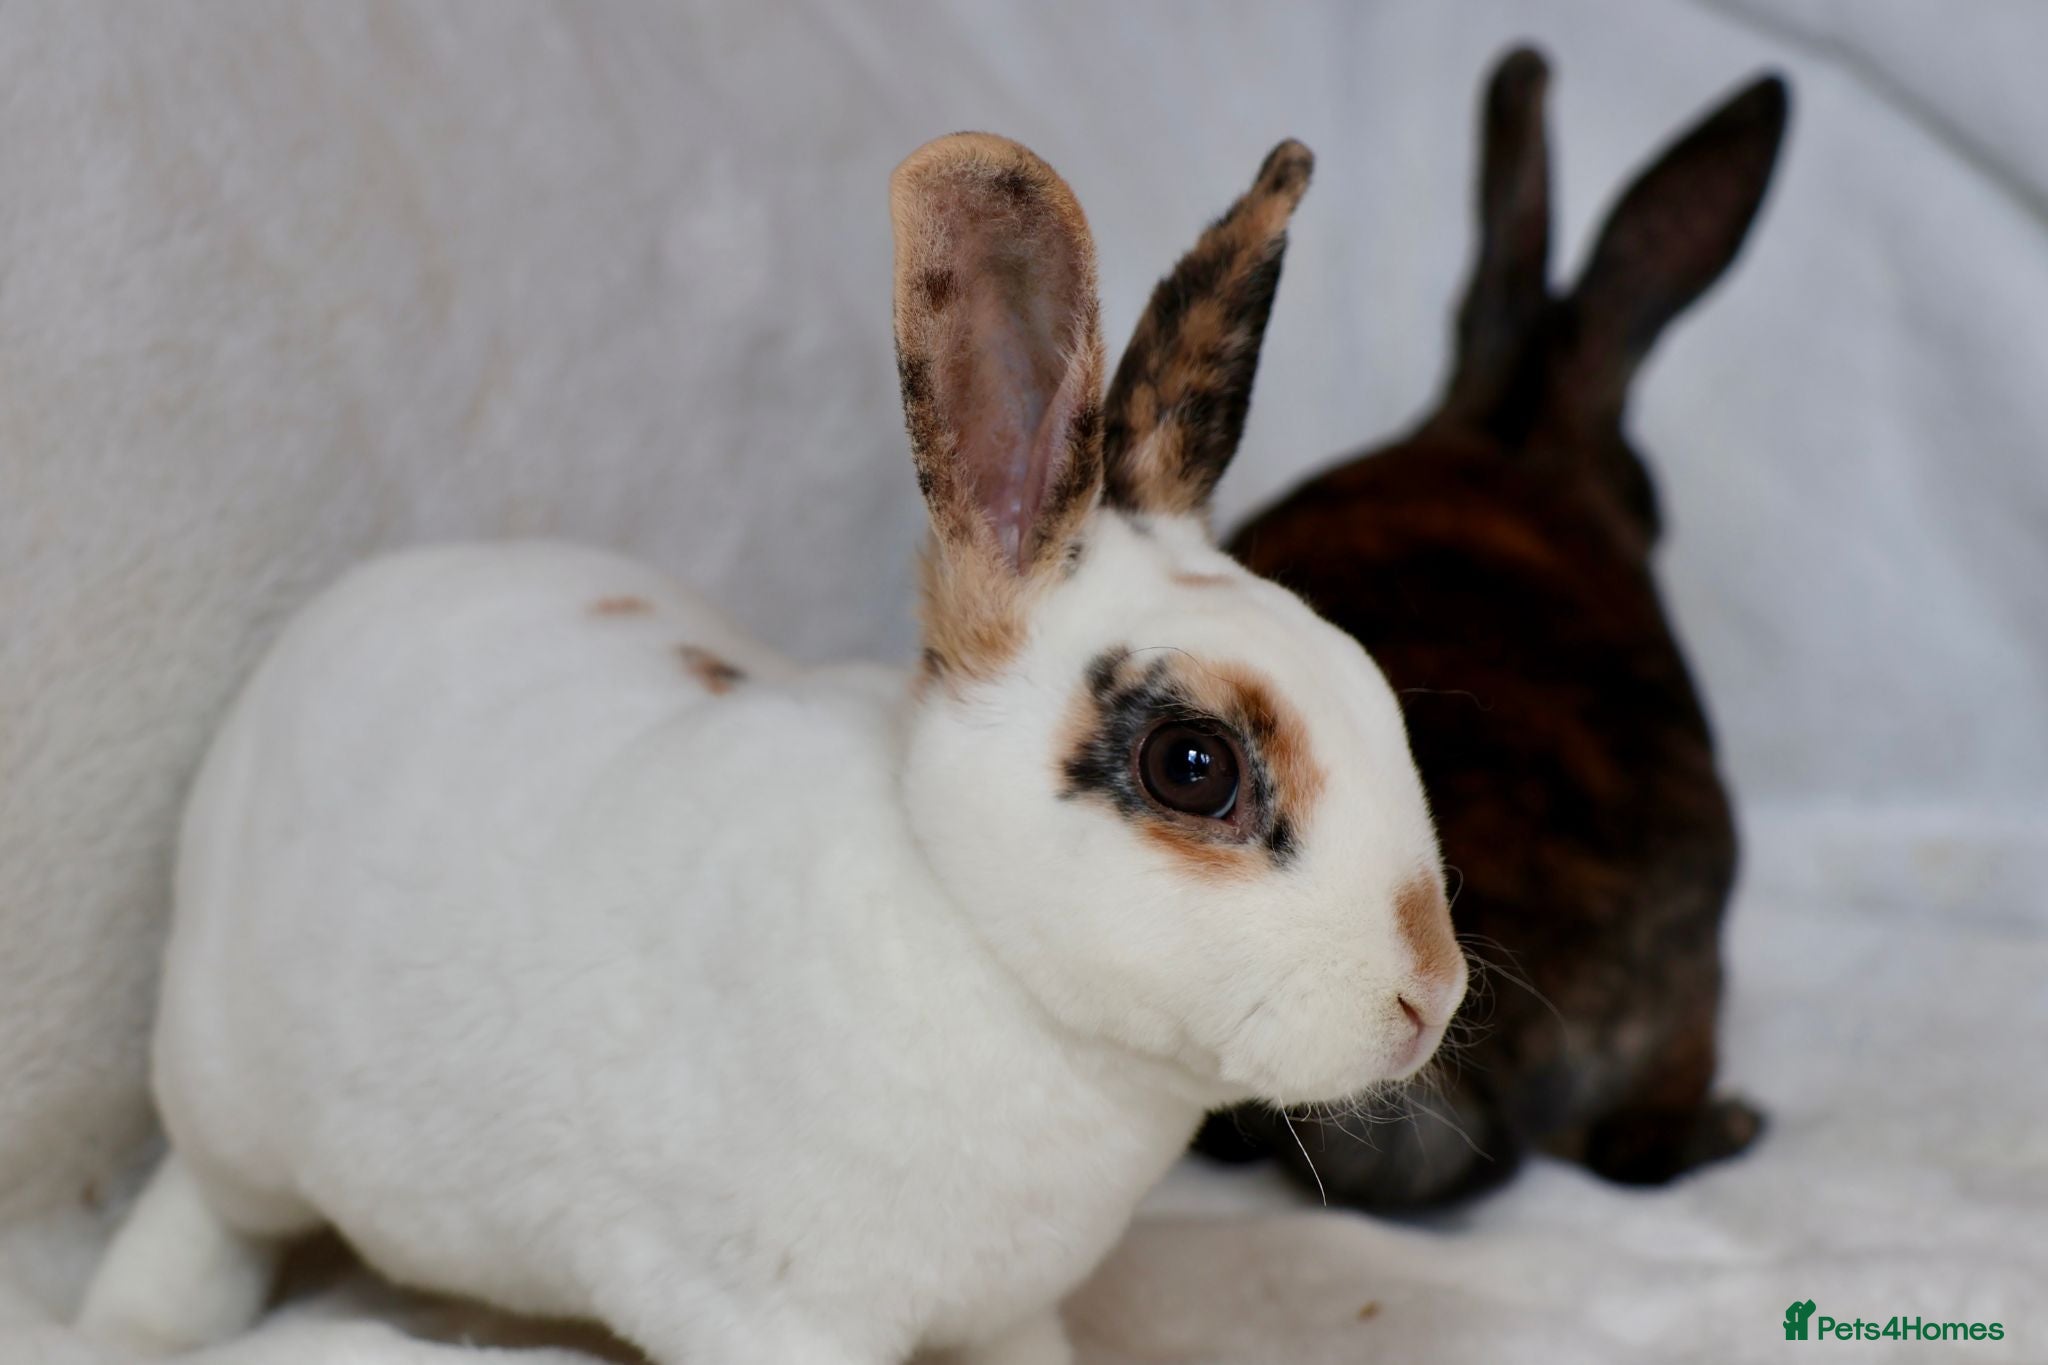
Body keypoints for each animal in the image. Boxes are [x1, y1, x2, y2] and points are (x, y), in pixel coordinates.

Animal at [78, 132, 1465, 1365]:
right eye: (1192, 766)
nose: (1430, 994)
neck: (969, 927)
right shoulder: (779, 1317)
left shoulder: (1006, 1318)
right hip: (224, 1099)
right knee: (196, 1215)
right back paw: (134, 1332)